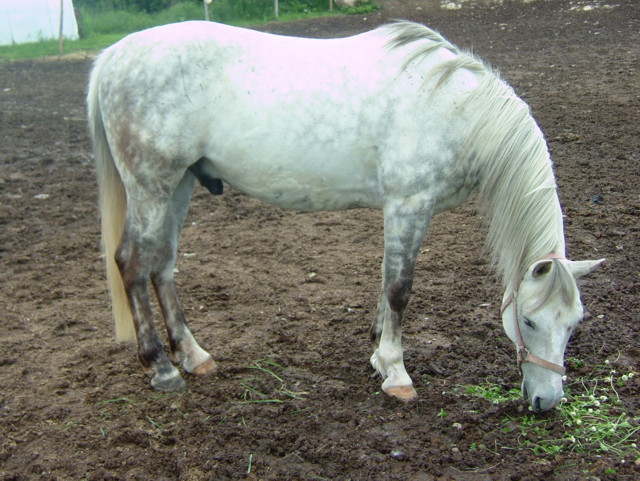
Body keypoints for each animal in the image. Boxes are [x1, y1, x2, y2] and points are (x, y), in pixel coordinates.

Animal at [87, 20, 603, 412]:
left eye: (574, 323)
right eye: (530, 322)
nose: (547, 401)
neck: (453, 107)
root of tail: (113, 56)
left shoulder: (402, 210)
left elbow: (385, 279)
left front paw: (377, 353)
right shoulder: (409, 204)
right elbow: (399, 289)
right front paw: (396, 373)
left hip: (179, 185)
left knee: (162, 265)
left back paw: (194, 356)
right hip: (152, 187)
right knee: (133, 264)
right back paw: (162, 368)